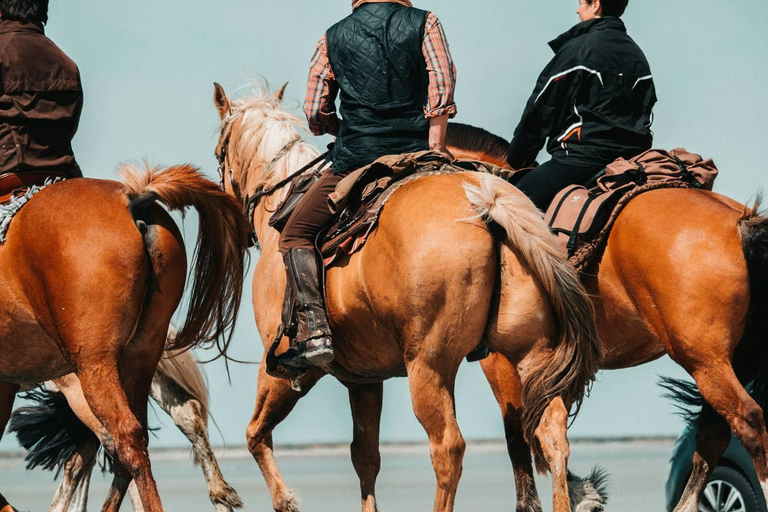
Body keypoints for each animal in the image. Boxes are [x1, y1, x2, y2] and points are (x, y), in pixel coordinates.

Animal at [213, 83, 604, 512]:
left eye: (218, 154)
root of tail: (487, 203)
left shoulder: (285, 366)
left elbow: (255, 434)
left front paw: (286, 500)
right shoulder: (365, 380)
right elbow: (365, 457)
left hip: (429, 365)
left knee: (448, 447)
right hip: (532, 354)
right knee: (551, 436)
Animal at [444, 123, 768, 512]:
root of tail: (741, 222)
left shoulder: (502, 362)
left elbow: (519, 433)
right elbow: (549, 424)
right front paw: (584, 493)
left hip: (704, 359)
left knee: (748, 421)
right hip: (731, 357)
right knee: (713, 434)